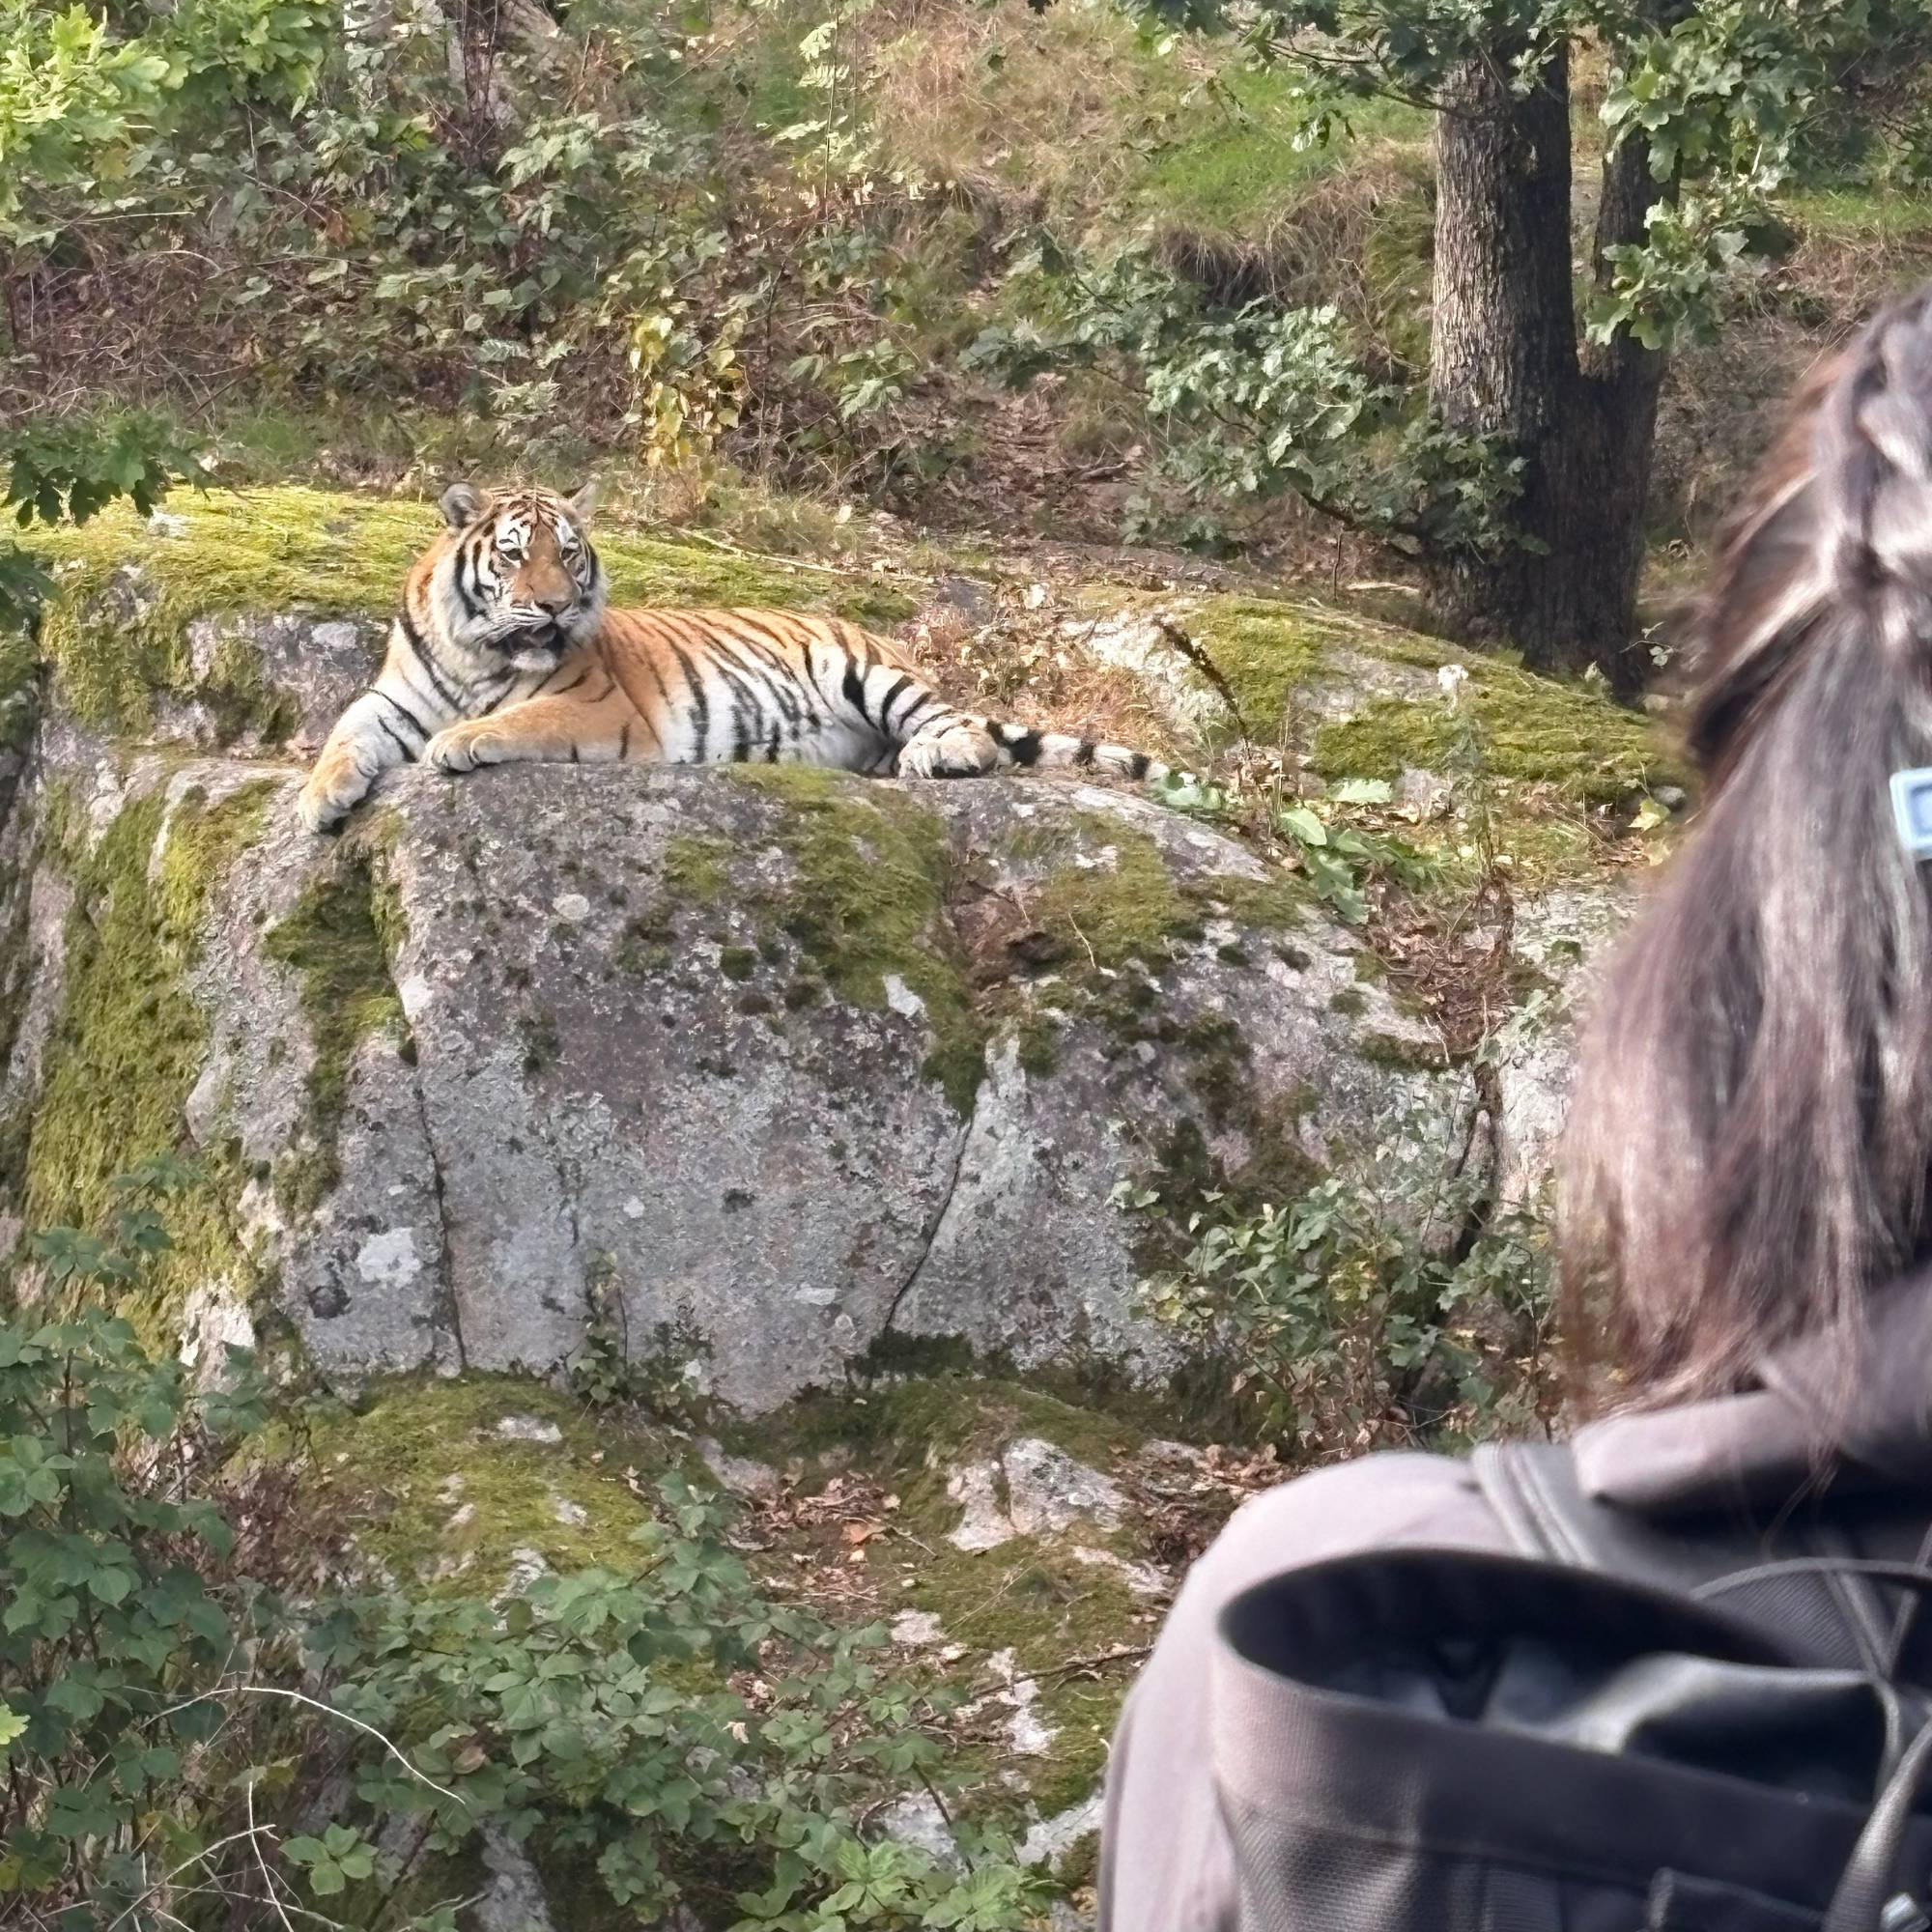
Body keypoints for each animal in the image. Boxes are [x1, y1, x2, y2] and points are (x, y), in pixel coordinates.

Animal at [295, 481, 1180, 833]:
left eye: (567, 554)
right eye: (513, 555)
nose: (553, 606)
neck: (478, 654)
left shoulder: (598, 708)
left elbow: (522, 719)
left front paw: (461, 741)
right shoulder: (390, 700)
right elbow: (342, 735)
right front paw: (321, 797)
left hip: (872, 674)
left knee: (963, 726)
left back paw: (942, 758)